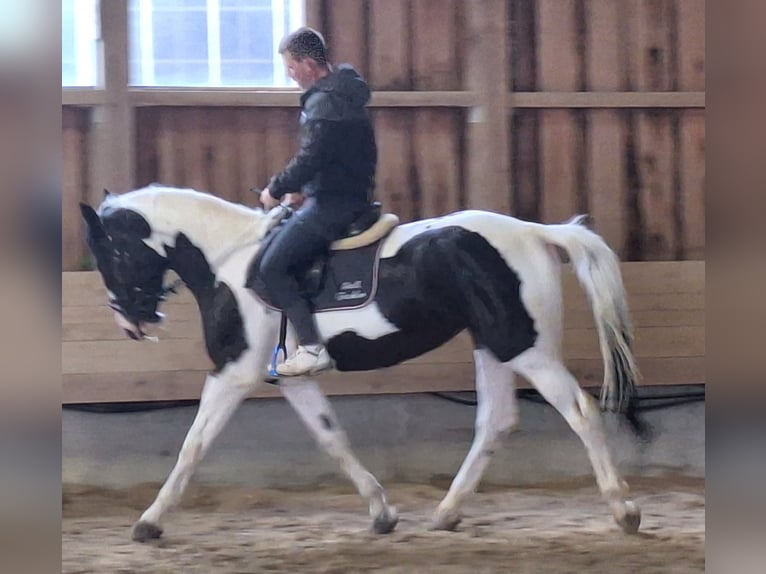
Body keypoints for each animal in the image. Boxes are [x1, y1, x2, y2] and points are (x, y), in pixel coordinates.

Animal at [78, 186, 644, 544]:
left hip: (526, 348)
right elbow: (332, 438)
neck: (228, 260)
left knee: (579, 412)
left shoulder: (234, 372)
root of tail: (533, 231)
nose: (133, 323)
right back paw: (446, 514)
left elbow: (193, 445)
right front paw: (382, 513)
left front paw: (150, 522)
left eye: (111, 254)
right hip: (493, 346)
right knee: (495, 422)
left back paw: (624, 511)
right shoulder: (289, 380)